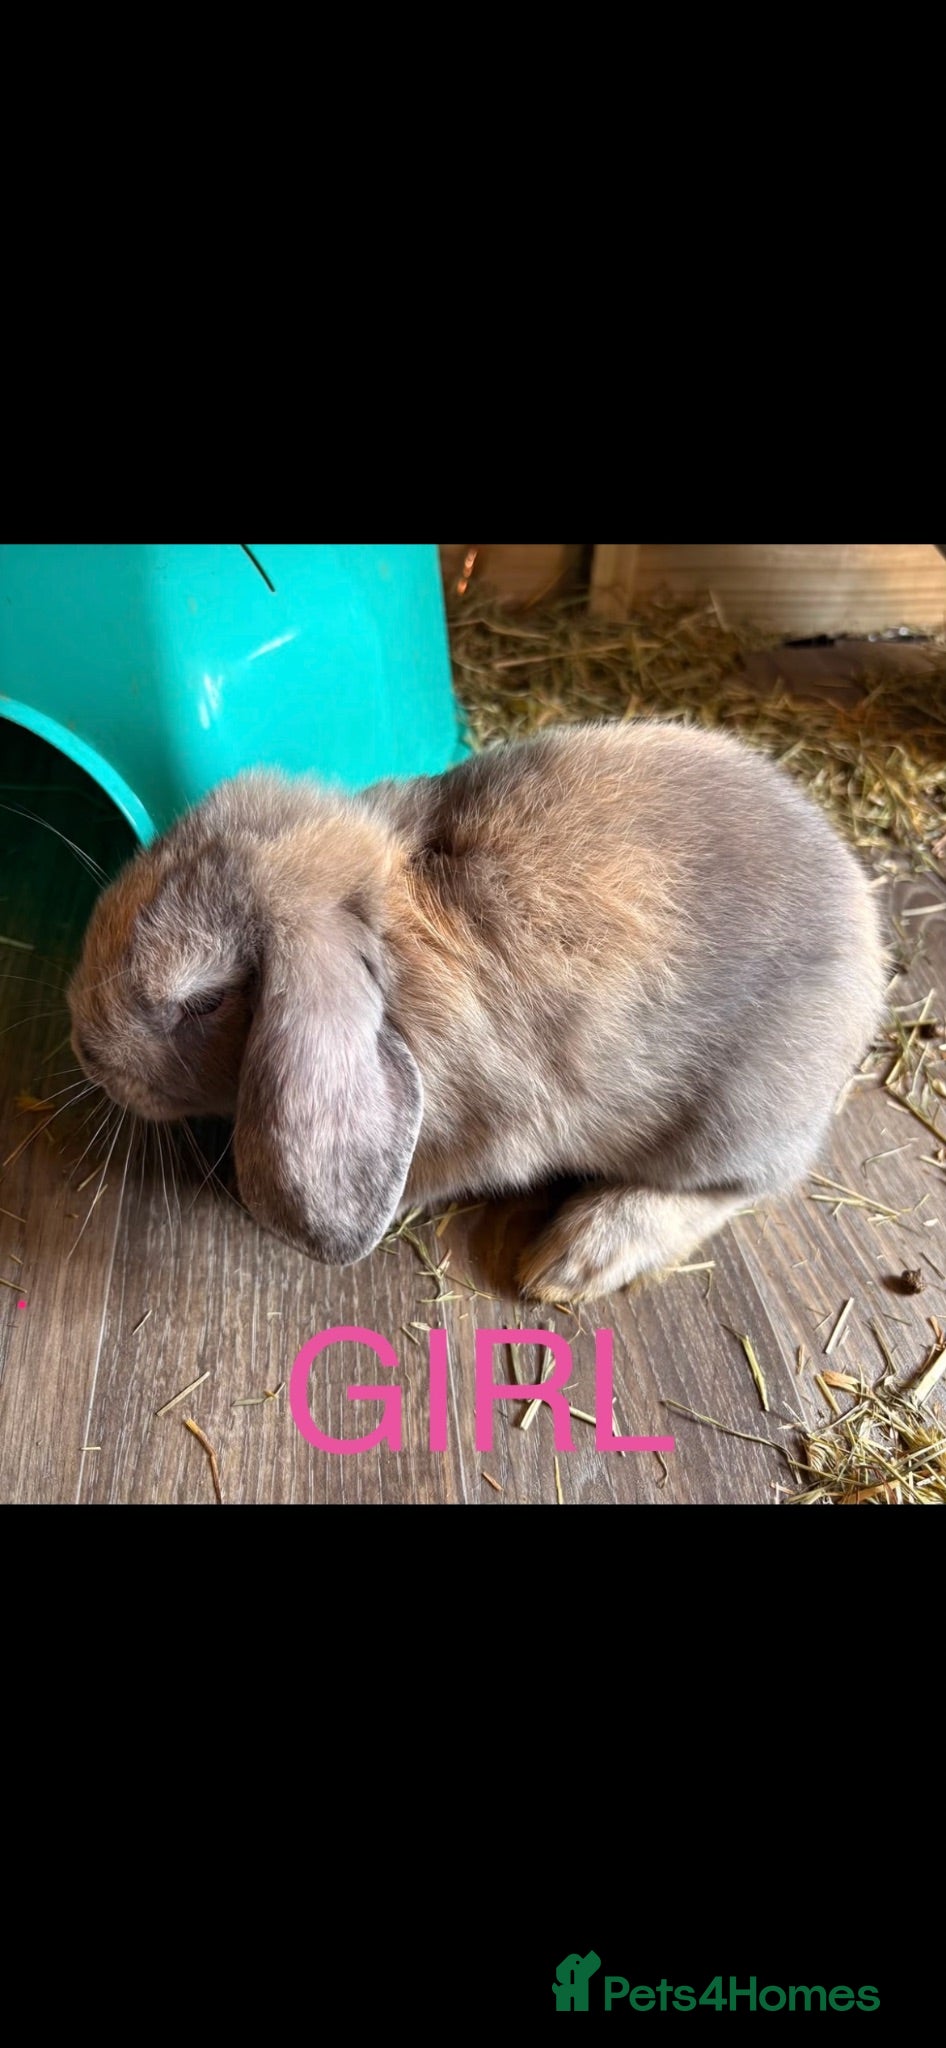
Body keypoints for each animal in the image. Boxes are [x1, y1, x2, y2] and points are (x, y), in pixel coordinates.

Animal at [67, 720, 887, 1301]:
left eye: (201, 999)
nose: (82, 1045)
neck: (388, 932)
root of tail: (866, 946)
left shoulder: (486, 1136)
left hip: (734, 1121)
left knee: (738, 1191)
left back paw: (573, 1261)